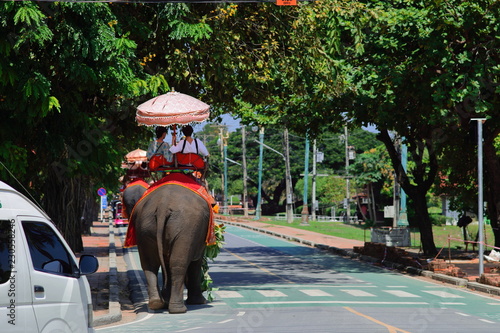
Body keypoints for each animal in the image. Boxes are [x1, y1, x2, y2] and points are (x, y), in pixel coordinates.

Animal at [130, 179, 210, 312]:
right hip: (186, 227)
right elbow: (196, 262)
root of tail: (163, 205)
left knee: (149, 263)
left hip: (144, 225)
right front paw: (200, 302)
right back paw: (178, 309)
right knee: (178, 263)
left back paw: (156, 303)